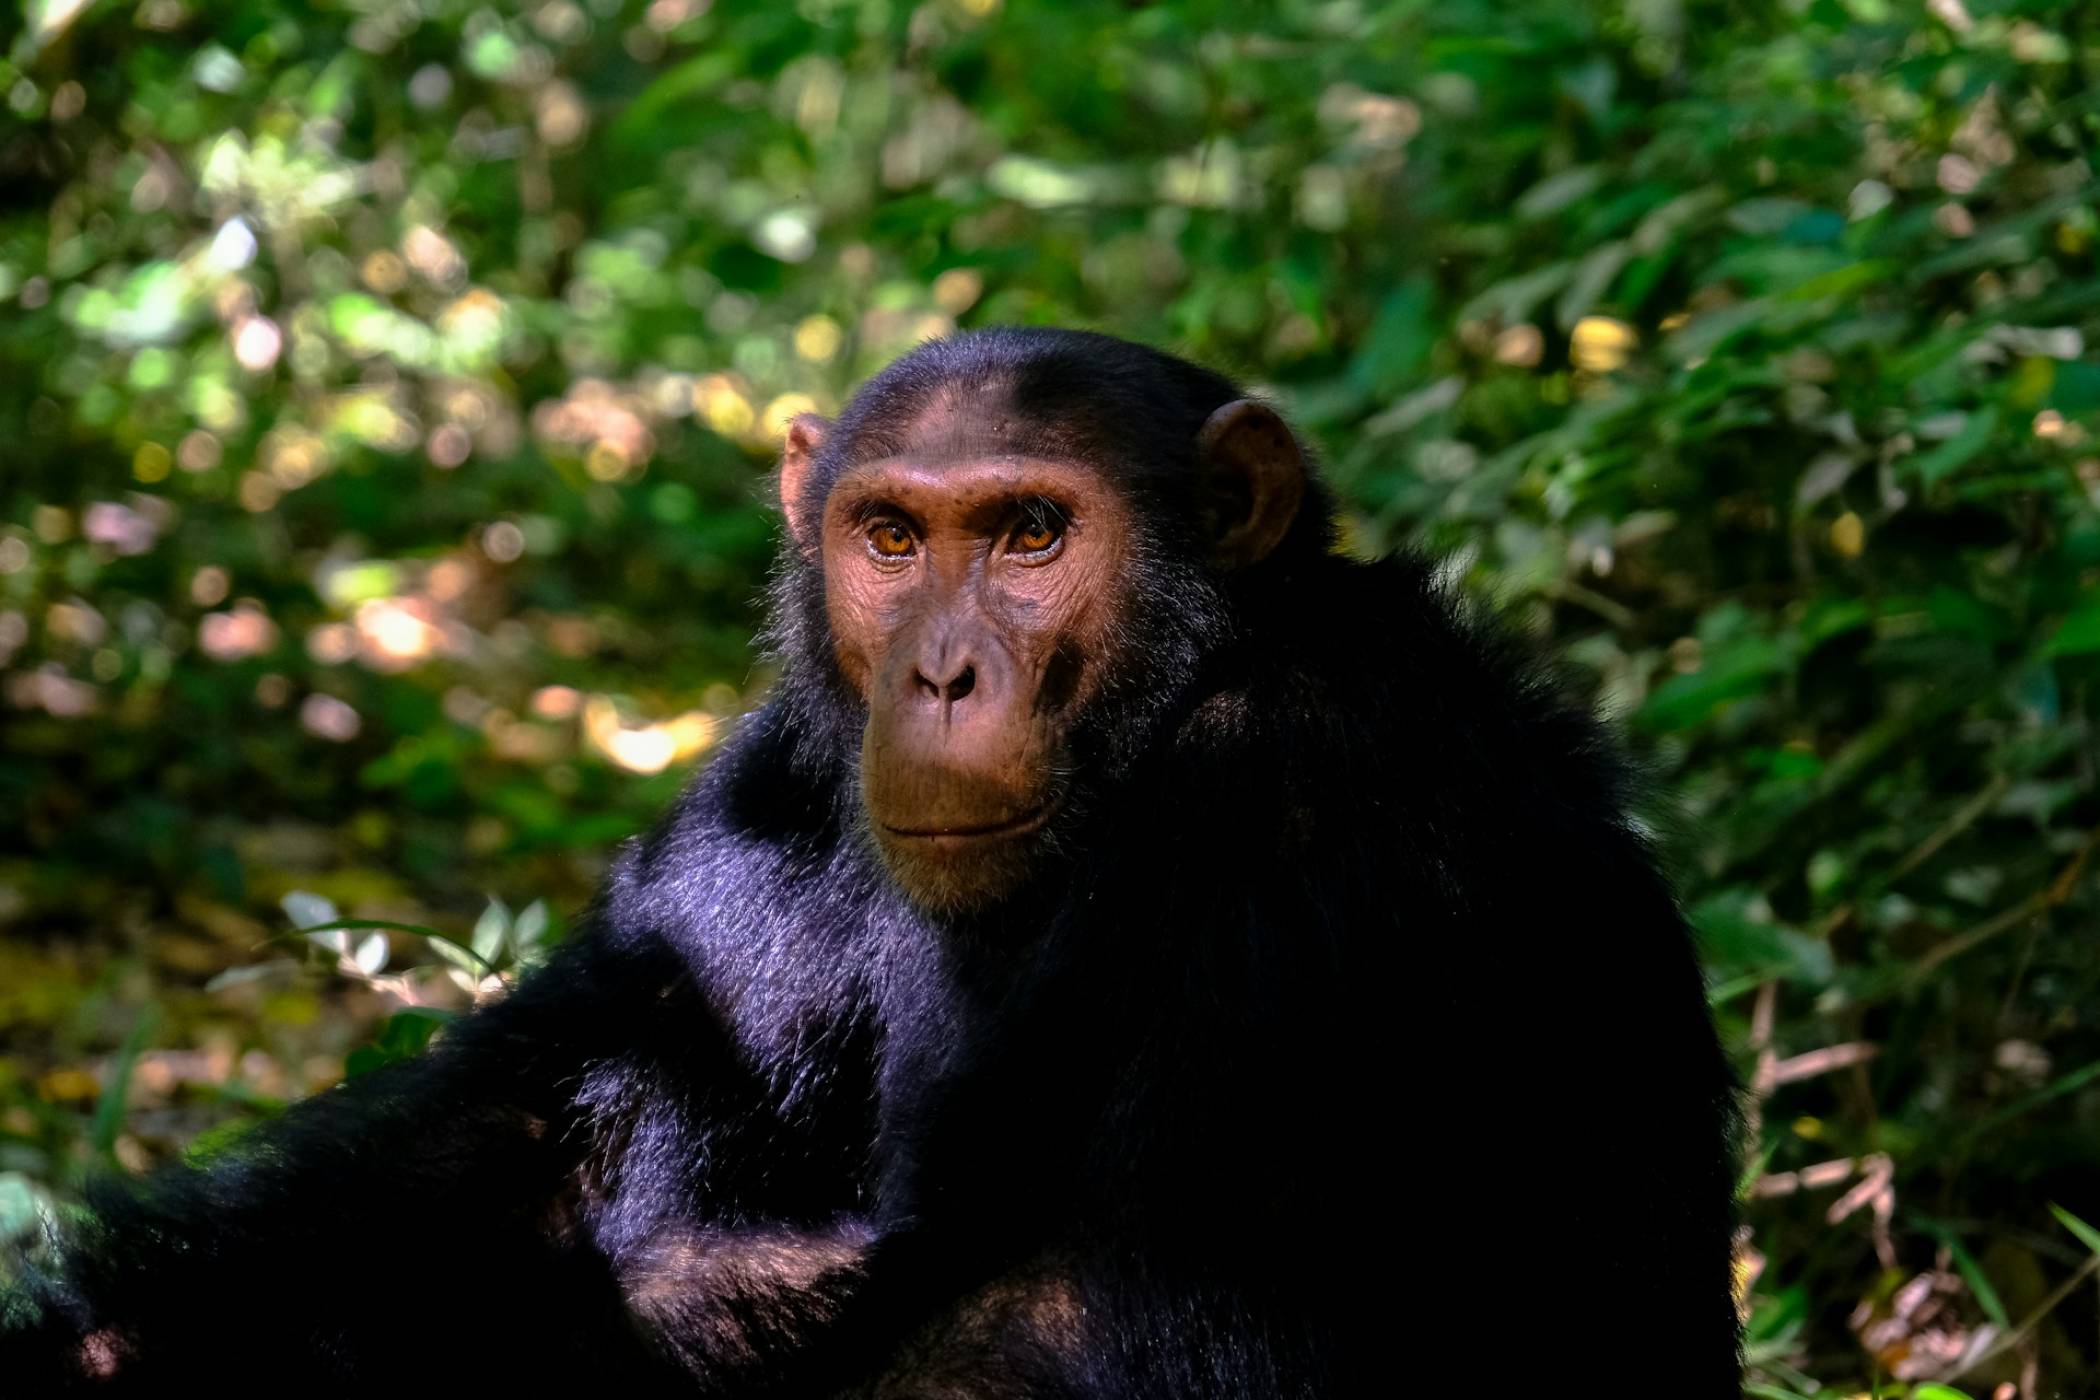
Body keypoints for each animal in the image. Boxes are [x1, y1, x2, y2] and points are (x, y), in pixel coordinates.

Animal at [0, 329, 1738, 1393]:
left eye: (1033, 534)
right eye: (892, 539)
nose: (942, 674)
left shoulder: (1306, 799)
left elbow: (1117, 1311)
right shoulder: (768, 789)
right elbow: (505, 1149)